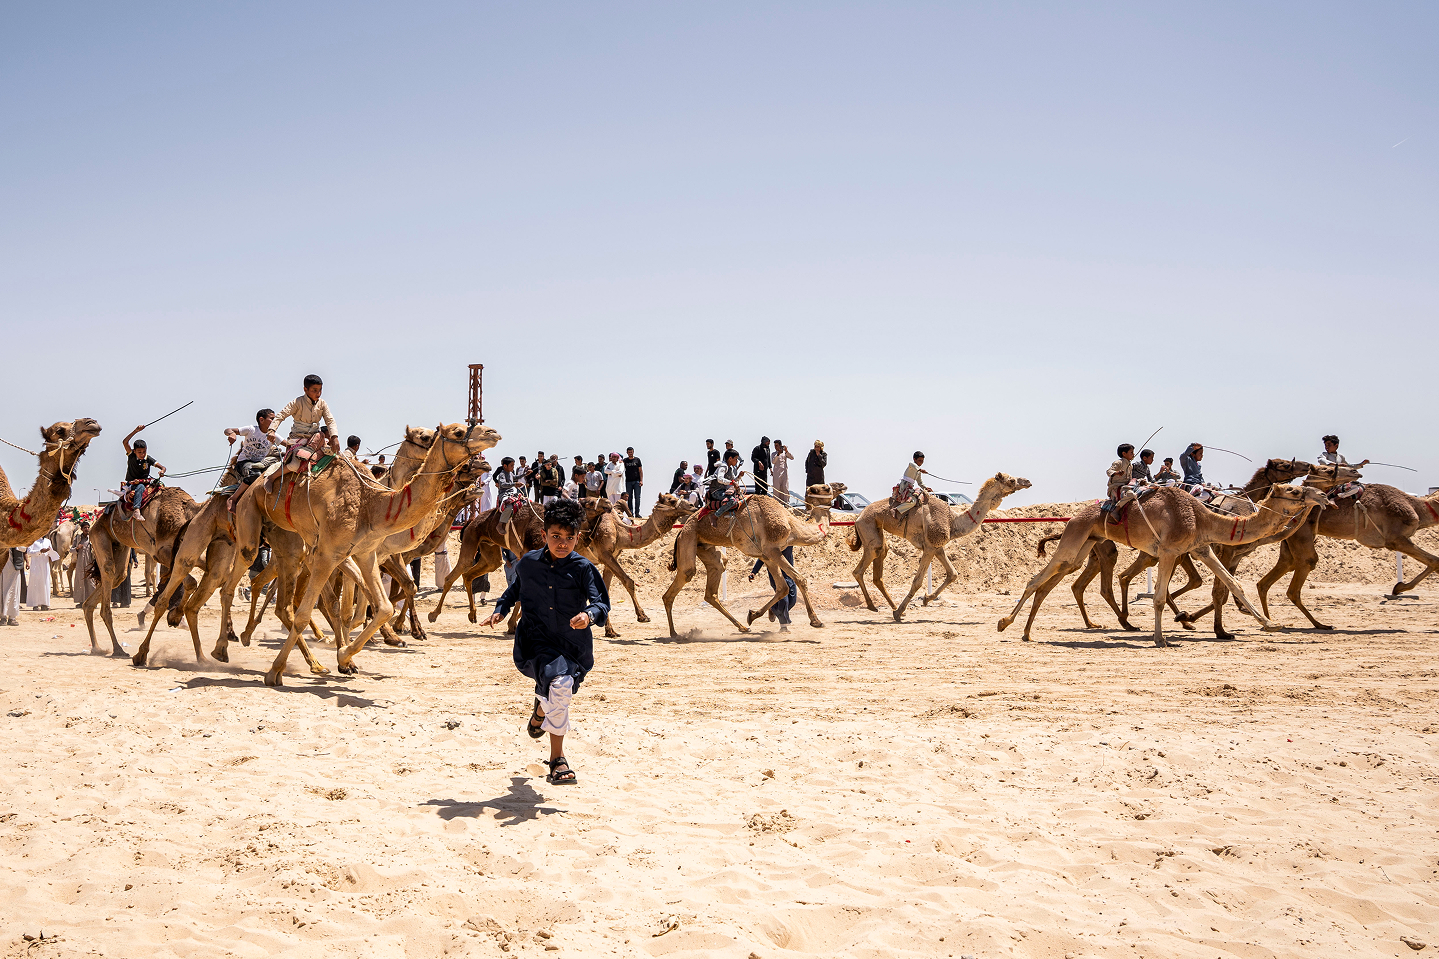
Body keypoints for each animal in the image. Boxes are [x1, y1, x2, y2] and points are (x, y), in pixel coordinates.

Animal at [217, 421, 498, 685]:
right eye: (457, 432)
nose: (492, 434)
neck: (373, 504)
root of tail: (253, 482)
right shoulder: (330, 554)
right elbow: (316, 612)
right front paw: (276, 671)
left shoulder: (366, 554)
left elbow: (383, 605)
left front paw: (347, 655)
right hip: (251, 519)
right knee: (238, 581)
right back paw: (224, 648)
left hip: (289, 544)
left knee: (274, 594)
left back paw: (256, 640)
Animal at [661, 483, 846, 638]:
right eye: (825, 487)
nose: (842, 485)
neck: (791, 526)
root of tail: (681, 529)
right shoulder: (772, 550)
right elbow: (800, 579)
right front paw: (816, 621)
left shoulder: (767, 556)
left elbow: (783, 588)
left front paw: (753, 615)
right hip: (689, 538)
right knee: (682, 578)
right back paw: (674, 633)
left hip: (704, 546)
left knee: (713, 583)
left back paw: (742, 627)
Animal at [847, 472, 1032, 620]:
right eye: (1011, 480)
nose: (1028, 481)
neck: (953, 522)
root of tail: (858, 517)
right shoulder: (929, 548)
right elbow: (917, 581)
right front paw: (899, 613)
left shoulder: (937, 547)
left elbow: (953, 574)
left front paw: (926, 599)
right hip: (869, 528)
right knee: (859, 570)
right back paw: (875, 606)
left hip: (877, 534)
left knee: (877, 571)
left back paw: (885, 606)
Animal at [998, 483, 1332, 647]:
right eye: (1294, 491)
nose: (1323, 496)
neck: (1203, 516)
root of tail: (1072, 518)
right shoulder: (1170, 551)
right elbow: (1158, 597)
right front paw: (1161, 638)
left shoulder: (1201, 548)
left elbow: (1232, 583)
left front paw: (1269, 623)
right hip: (1075, 537)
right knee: (1035, 579)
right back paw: (1005, 623)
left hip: (1084, 544)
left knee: (1052, 580)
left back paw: (1027, 632)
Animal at [1255, 483, 1439, 629]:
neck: (1416, 508)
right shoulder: (1395, 539)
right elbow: (1435, 561)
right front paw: (1399, 587)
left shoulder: (1398, 540)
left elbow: (1433, 562)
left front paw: (1399, 587)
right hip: (1301, 536)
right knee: (1298, 580)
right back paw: (1318, 624)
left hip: (1290, 542)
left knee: (1269, 579)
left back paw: (1272, 622)